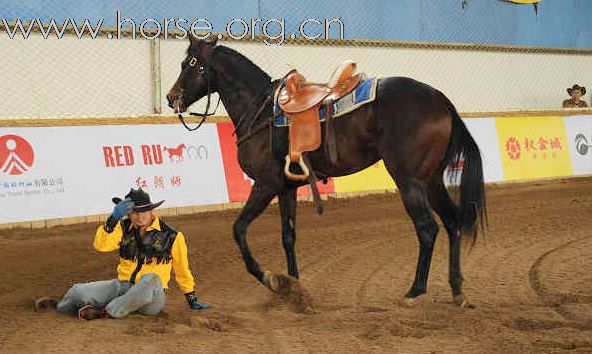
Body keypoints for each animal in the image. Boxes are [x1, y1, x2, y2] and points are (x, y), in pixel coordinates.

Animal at [165, 37, 486, 308]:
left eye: (190, 64)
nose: (171, 97)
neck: (262, 112)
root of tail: (440, 99)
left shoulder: (265, 184)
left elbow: (239, 229)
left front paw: (271, 280)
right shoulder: (286, 188)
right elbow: (288, 236)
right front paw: (294, 288)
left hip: (410, 182)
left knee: (427, 228)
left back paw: (415, 291)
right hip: (431, 181)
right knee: (453, 222)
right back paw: (457, 289)